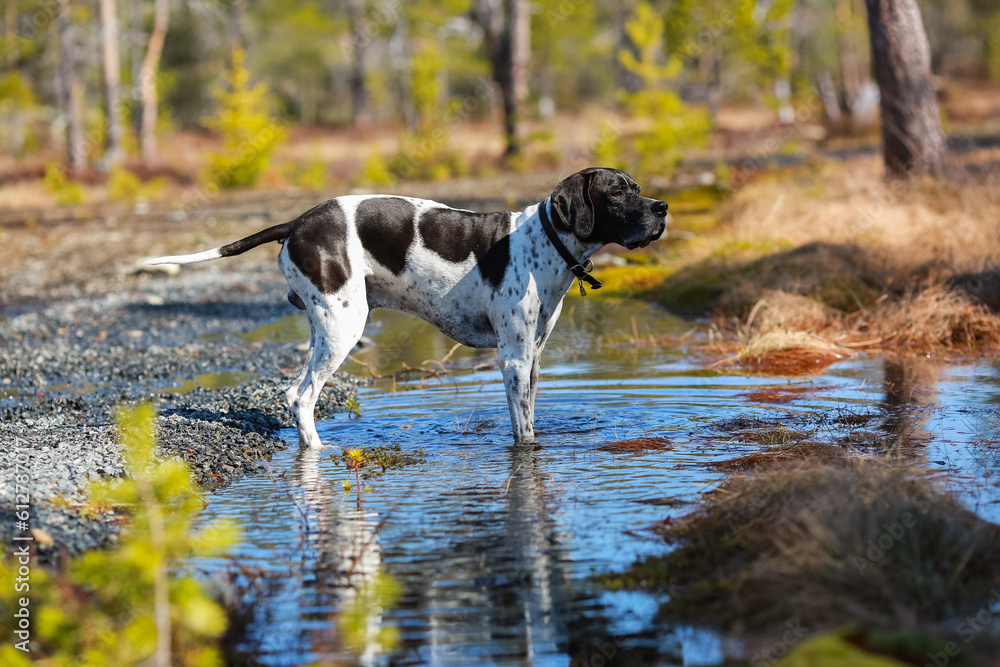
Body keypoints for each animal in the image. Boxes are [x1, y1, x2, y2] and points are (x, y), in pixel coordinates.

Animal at [145, 168, 668, 448]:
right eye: (617, 192)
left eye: (637, 186)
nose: (662, 207)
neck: (547, 241)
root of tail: (297, 222)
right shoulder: (514, 361)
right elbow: (524, 432)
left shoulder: (533, 360)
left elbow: (531, 419)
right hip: (343, 329)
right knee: (301, 396)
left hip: (325, 327)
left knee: (297, 392)